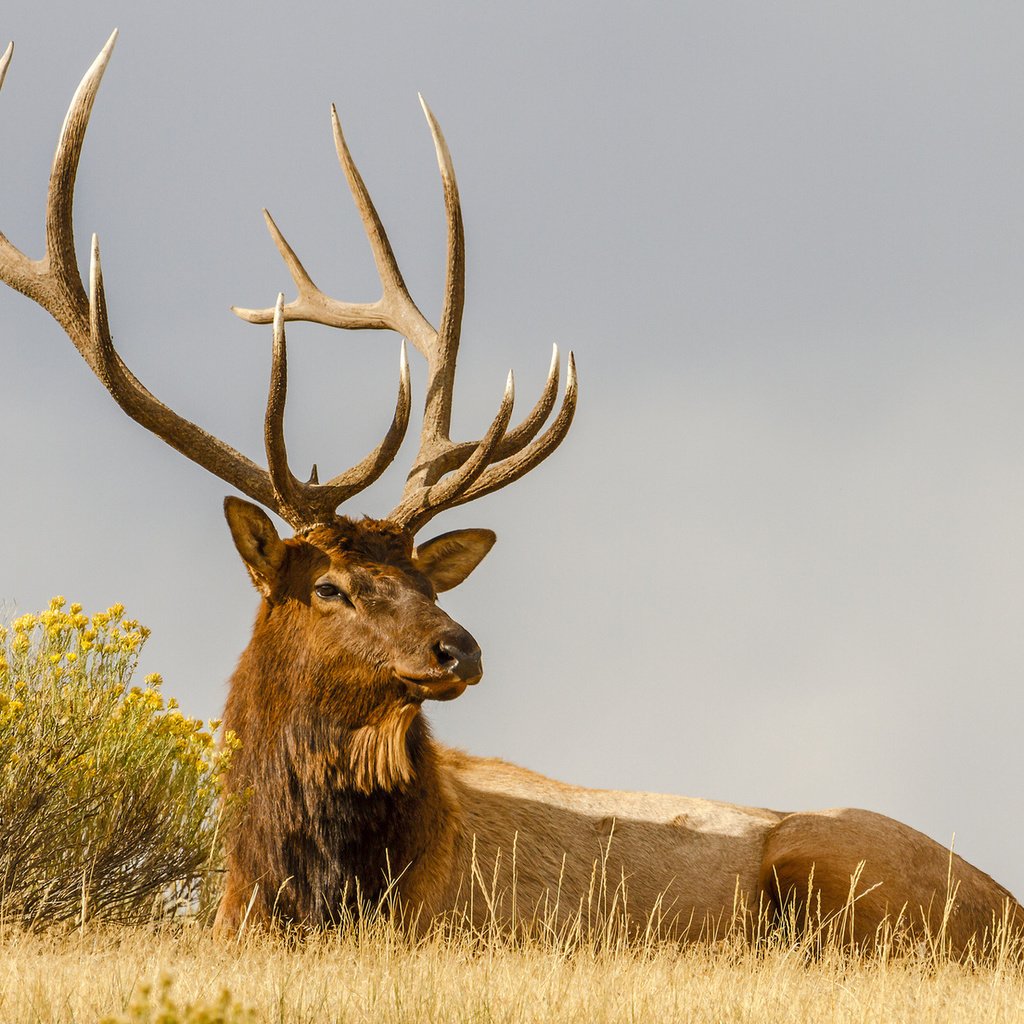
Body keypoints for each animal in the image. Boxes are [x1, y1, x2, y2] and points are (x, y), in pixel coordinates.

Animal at [2, 32, 1024, 954]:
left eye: (429, 577)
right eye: (328, 585)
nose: (458, 648)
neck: (303, 887)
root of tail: (1008, 906)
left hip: (836, 864)